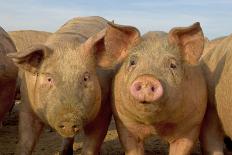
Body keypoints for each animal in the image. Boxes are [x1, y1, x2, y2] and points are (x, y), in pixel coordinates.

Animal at [6, 16, 134, 154]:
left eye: (85, 78)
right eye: (49, 79)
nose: (69, 119)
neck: (66, 45)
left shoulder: (104, 106)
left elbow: (92, 143)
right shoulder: (27, 104)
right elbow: (25, 140)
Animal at [105, 22, 207, 155]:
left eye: (172, 65)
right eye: (132, 62)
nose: (147, 78)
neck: (155, 125)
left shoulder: (192, 125)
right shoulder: (124, 123)